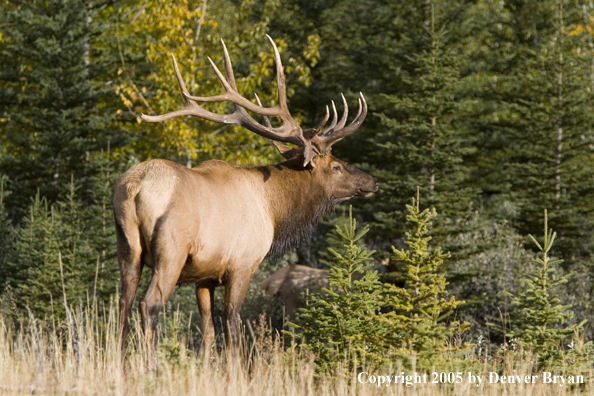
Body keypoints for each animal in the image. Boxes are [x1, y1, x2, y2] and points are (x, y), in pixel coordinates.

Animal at [113, 37, 376, 366]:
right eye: (337, 166)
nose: (371, 181)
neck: (274, 209)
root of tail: (134, 187)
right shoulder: (241, 264)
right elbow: (233, 327)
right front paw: (234, 370)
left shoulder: (205, 276)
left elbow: (208, 330)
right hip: (170, 251)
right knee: (148, 304)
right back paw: (150, 367)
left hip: (128, 249)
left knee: (122, 305)